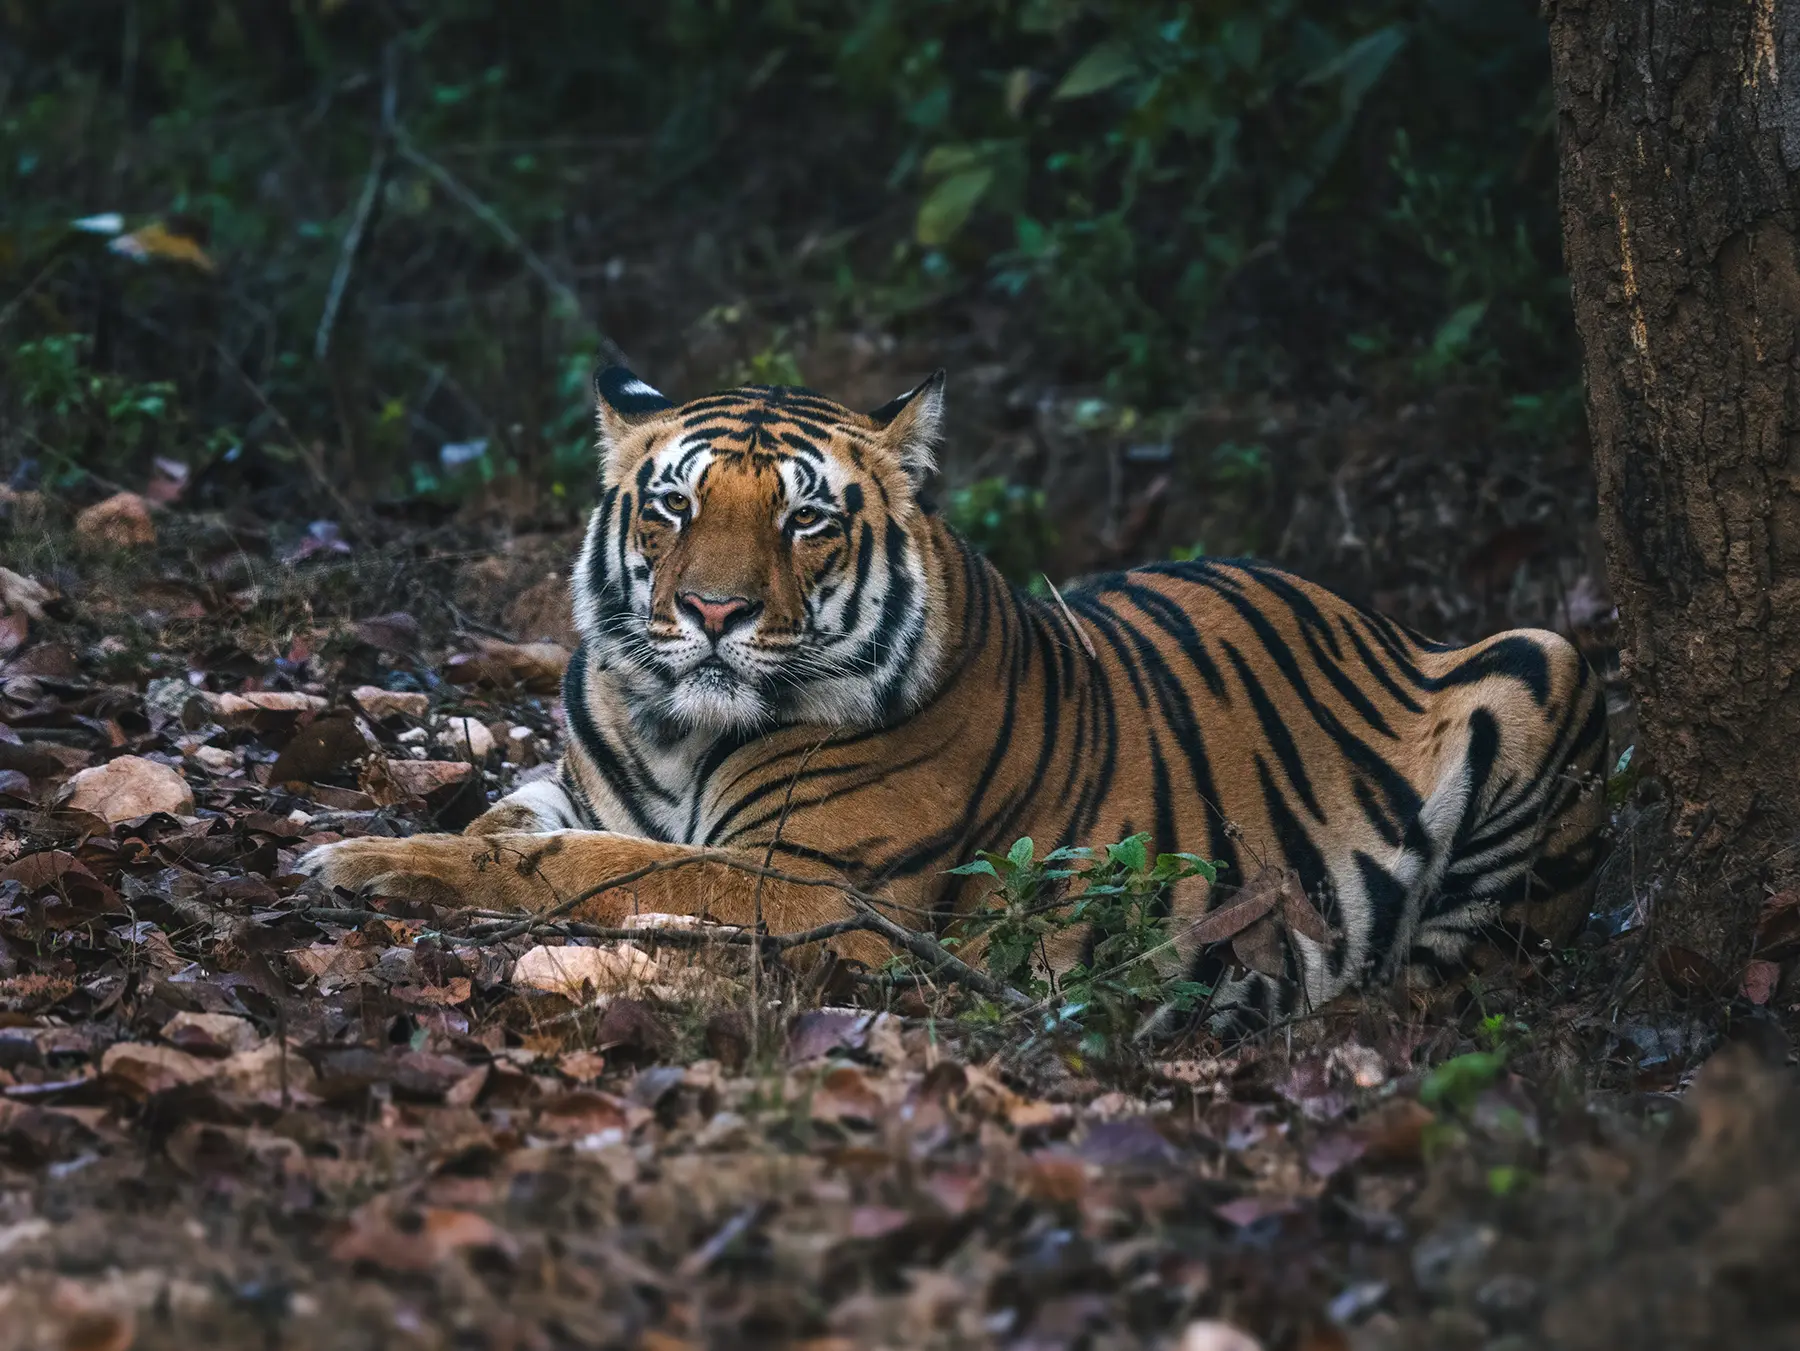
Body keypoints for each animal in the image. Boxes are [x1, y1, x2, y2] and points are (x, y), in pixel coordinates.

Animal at [301, 366, 1609, 1035]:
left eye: (804, 518)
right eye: (674, 506)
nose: (713, 613)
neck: (676, 724)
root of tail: (1388, 619)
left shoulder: (812, 883)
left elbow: (580, 868)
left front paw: (361, 864)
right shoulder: (578, 781)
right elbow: (514, 824)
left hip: (1545, 659)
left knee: (1461, 966)